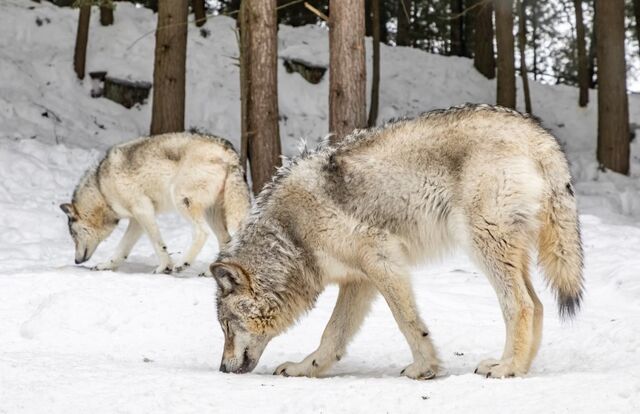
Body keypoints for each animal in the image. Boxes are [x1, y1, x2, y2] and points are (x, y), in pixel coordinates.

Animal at [60, 133, 250, 274]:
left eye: (73, 235)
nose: (76, 260)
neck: (102, 189)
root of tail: (229, 151)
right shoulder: (136, 220)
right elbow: (121, 249)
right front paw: (106, 265)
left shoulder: (143, 210)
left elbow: (158, 242)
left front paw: (165, 267)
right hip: (211, 213)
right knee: (226, 240)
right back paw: (211, 272)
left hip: (182, 201)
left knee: (201, 233)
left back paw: (183, 263)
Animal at [210, 103, 584, 378]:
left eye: (227, 327)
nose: (223, 369)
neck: (291, 234)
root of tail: (537, 134)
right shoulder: (358, 280)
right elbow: (332, 334)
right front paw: (305, 368)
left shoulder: (382, 260)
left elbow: (407, 322)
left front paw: (425, 368)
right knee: (537, 304)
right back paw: (520, 368)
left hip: (483, 245)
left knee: (520, 305)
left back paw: (507, 368)